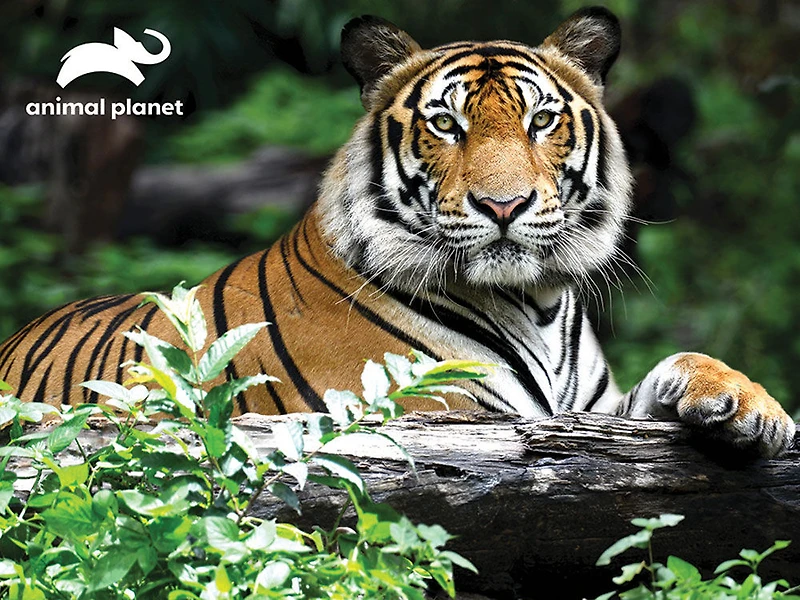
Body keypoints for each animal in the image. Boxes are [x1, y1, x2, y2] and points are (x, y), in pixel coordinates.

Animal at [0, 7, 793, 457]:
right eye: (446, 124)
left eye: (542, 120)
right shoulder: (441, 416)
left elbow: (681, 365)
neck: (537, 303)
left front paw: (751, 406)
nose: (503, 205)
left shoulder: (591, 416)